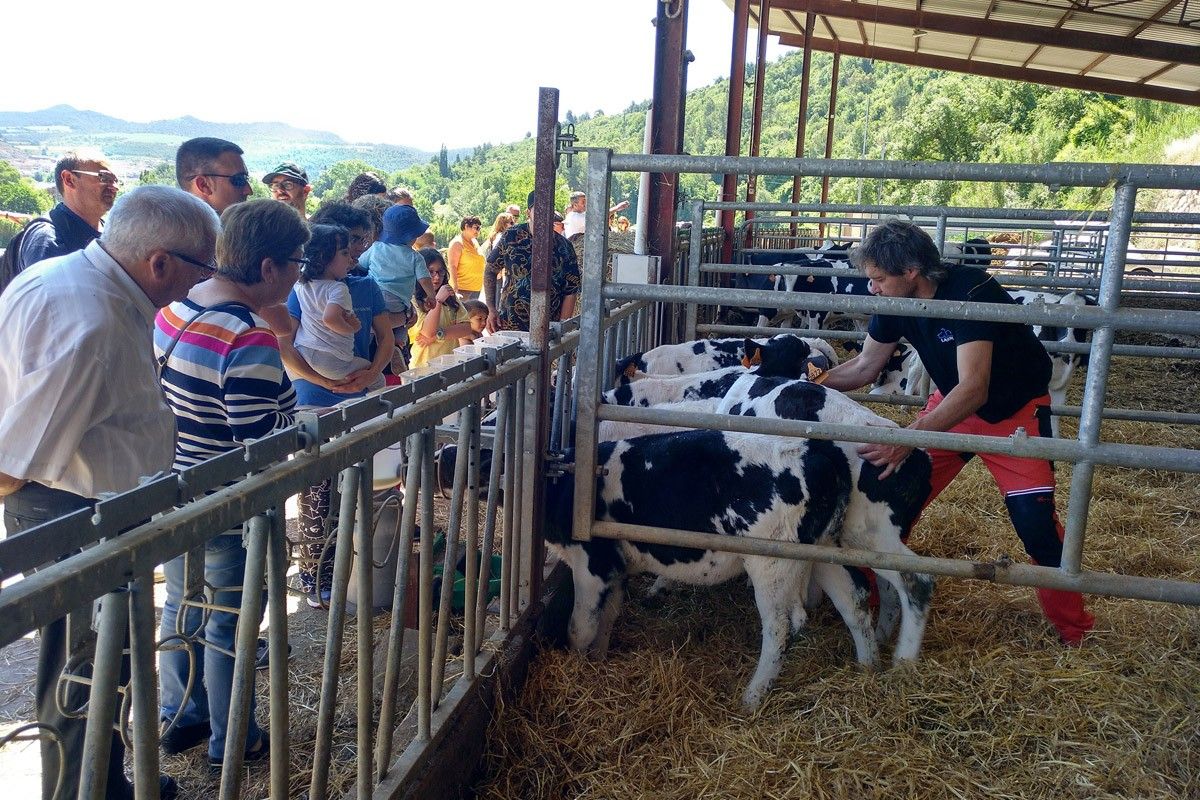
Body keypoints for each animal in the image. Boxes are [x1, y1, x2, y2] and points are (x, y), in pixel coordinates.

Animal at [549, 431, 888, 705]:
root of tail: (817, 449)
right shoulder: (616, 569)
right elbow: (606, 618)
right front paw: (598, 660)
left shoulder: (592, 564)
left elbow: (580, 626)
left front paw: (578, 669)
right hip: (821, 547)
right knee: (853, 600)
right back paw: (867, 669)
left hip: (773, 561)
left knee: (781, 625)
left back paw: (752, 697)